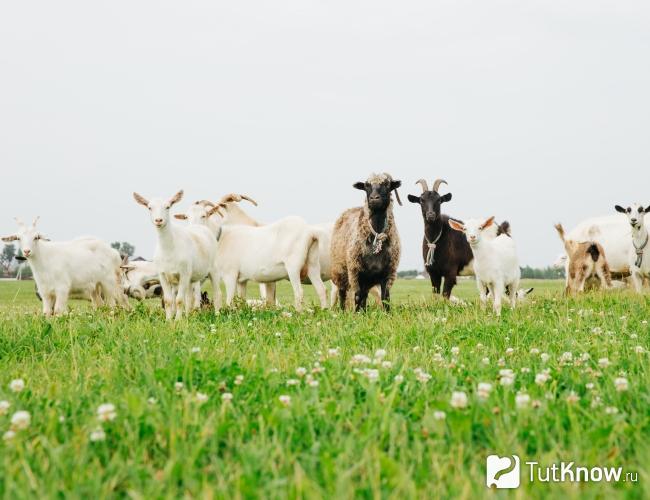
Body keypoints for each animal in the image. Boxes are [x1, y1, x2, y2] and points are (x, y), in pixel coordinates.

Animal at [133, 190, 219, 320]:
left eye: (168, 207)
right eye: (149, 207)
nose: (158, 220)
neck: (169, 249)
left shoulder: (183, 274)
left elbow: (179, 300)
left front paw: (178, 320)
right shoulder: (163, 275)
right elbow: (168, 300)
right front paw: (169, 320)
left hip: (212, 270)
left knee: (216, 292)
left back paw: (218, 313)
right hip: (191, 277)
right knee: (189, 297)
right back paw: (188, 315)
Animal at [331, 173, 402, 311]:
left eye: (387, 184)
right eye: (366, 186)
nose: (374, 198)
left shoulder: (388, 272)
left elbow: (386, 298)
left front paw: (387, 314)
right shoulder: (355, 271)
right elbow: (357, 296)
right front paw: (357, 314)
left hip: (367, 279)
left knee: (364, 296)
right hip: (340, 270)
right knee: (343, 293)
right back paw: (343, 311)